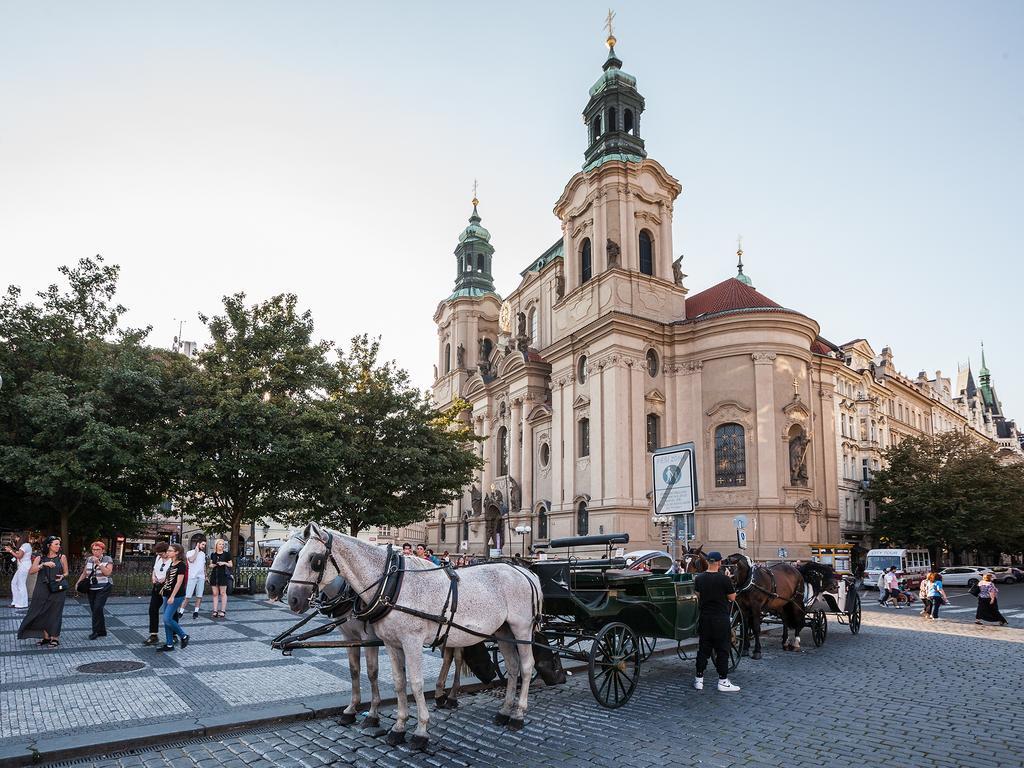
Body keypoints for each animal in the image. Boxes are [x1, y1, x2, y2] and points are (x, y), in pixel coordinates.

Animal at [288, 524, 540, 753]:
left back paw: (518, 714)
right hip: (503, 632)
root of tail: (525, 572)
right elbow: (399, 683)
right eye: (296, 556)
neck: (390, 585)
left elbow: (416, 684)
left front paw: (420, 731)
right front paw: (399, 727)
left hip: (521, 629)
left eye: (314, 559)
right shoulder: (391, 644)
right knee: (512, 667)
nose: (292, 599)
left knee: (527, 667)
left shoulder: (412, 642)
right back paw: (504, 712)